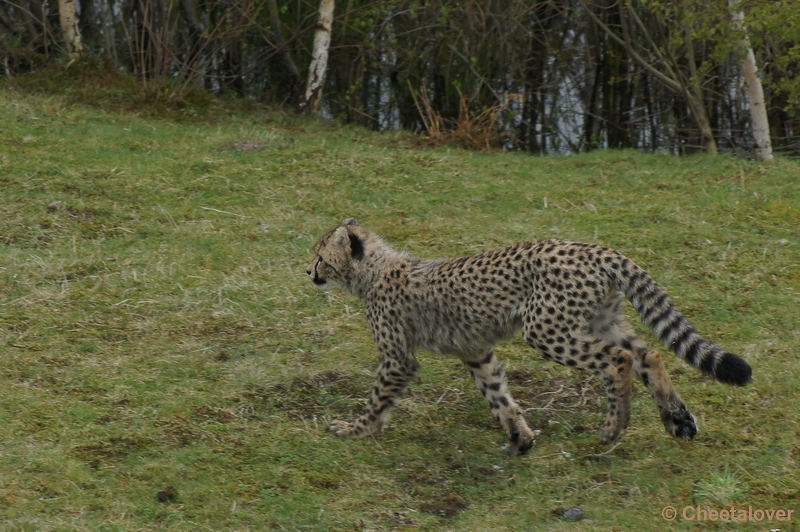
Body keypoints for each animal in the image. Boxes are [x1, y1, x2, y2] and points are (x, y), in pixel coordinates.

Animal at [304, 218, 752, 456]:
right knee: (648, 355)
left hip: (546, 329)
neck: (375, 271)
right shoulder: (476, 351)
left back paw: (614, 427)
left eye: (321, 257)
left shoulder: (398, 358)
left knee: (618, 360)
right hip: (599, 320)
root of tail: (595, 248)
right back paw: (677, 420)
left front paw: (354, 430)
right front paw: (520, 438)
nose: (308, 272)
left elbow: (378, 400)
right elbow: (498, 394)